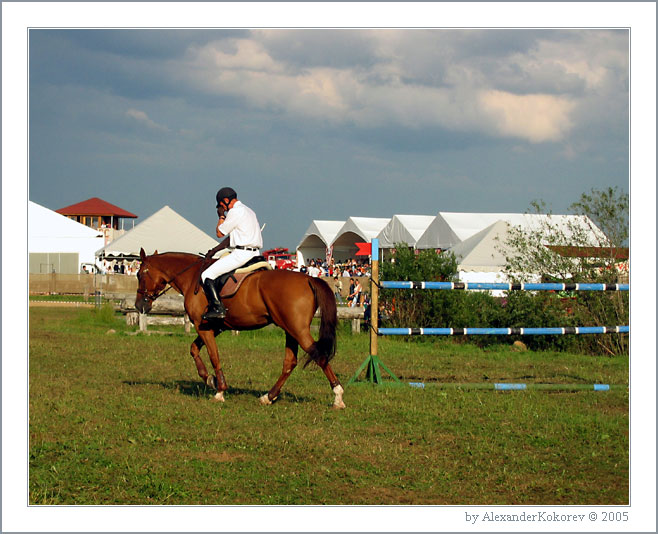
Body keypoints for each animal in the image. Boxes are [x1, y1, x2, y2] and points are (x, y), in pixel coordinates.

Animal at [136, 248, 346, 410]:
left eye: (139, 274)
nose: (140, 305)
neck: (193, 277)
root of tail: (308, 279)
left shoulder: (203, 327)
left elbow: (214, 356)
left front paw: (219, 390)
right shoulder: (213, 327)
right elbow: (194, 349)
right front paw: (209, 379)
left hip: (298, 330)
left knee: (319, 356)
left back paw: (338, 396)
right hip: (290, 330)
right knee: (290, 362)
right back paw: (269, 396)